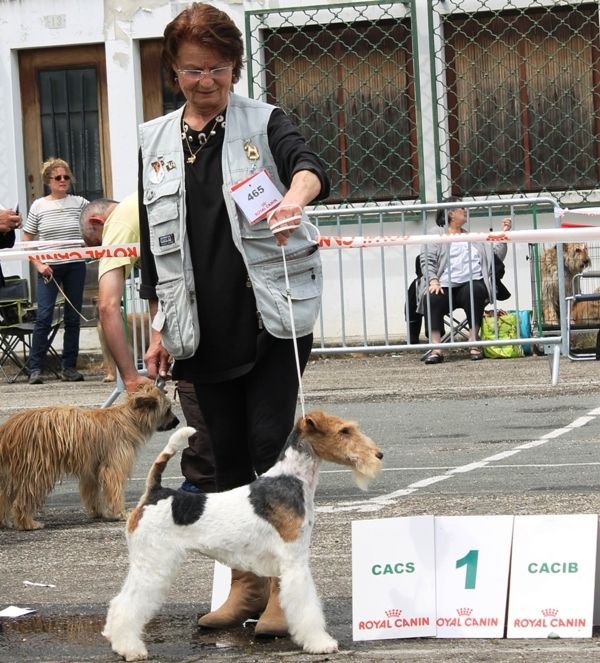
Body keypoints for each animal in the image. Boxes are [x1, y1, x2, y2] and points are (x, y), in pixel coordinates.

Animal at [0, 384, 178, 528]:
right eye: (168, 409)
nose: (177, 421)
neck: (129, 418)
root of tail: (9, 427)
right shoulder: (114, 464)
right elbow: (114, 487)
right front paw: (120, 513)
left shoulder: (92, 469)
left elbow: (92, 491)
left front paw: (99, 512)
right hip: (38, 469)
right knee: (24, 498)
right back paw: (27, 523)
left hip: (13, 472)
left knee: (5, 495)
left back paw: (5, 521)